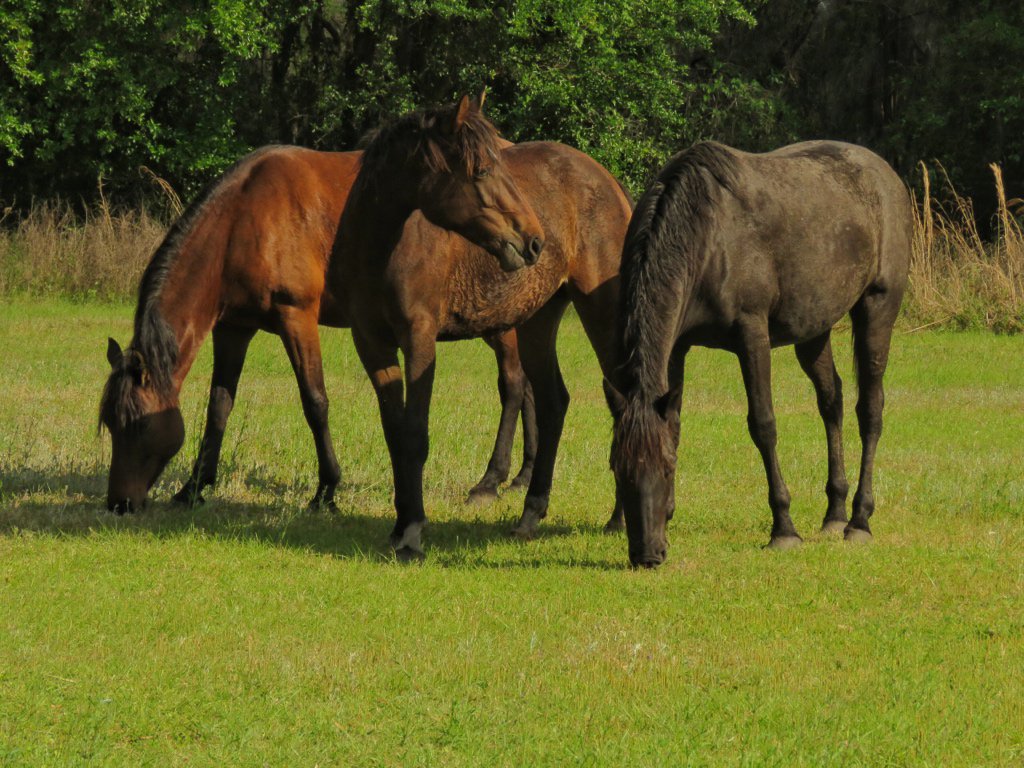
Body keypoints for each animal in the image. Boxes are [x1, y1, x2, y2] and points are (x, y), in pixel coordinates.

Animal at [99, 144, 538, 513]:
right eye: (109, 425)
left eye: (138, 425)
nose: (119, 503)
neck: (244, 218)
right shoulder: (233, 328)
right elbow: (218, 406)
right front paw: (194, 487)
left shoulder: (297, 317)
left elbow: (315, 402)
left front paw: (327, 489)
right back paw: (522, 476)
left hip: (499, 324)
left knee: (513, 385)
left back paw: (491, 480)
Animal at [329, 95, 631, 560]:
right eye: (484, 170)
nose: (534, 240)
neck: (378, 252)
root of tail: (610, 183)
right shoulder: (372, 345)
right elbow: (394, 434)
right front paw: (398, 527)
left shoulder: (419, 342)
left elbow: (415, 434)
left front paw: (413, 532)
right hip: (538, 322)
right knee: (553, 402)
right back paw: (530, 515)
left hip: (601, 313)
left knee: (623, 400)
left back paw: (619, 517)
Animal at [603, 140, 912, 567]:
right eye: (618, 469)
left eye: (666, 470)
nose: (647, 554)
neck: (709, 235)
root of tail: (884, 172)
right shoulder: (678, 346)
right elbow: (676, 424)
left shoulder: (752, 334)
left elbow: (763, 425)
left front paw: (783, 528)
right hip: (814, 329)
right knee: (831, 402)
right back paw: (834, 513)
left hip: (877, 309)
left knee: (870, 410)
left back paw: (859, 520)